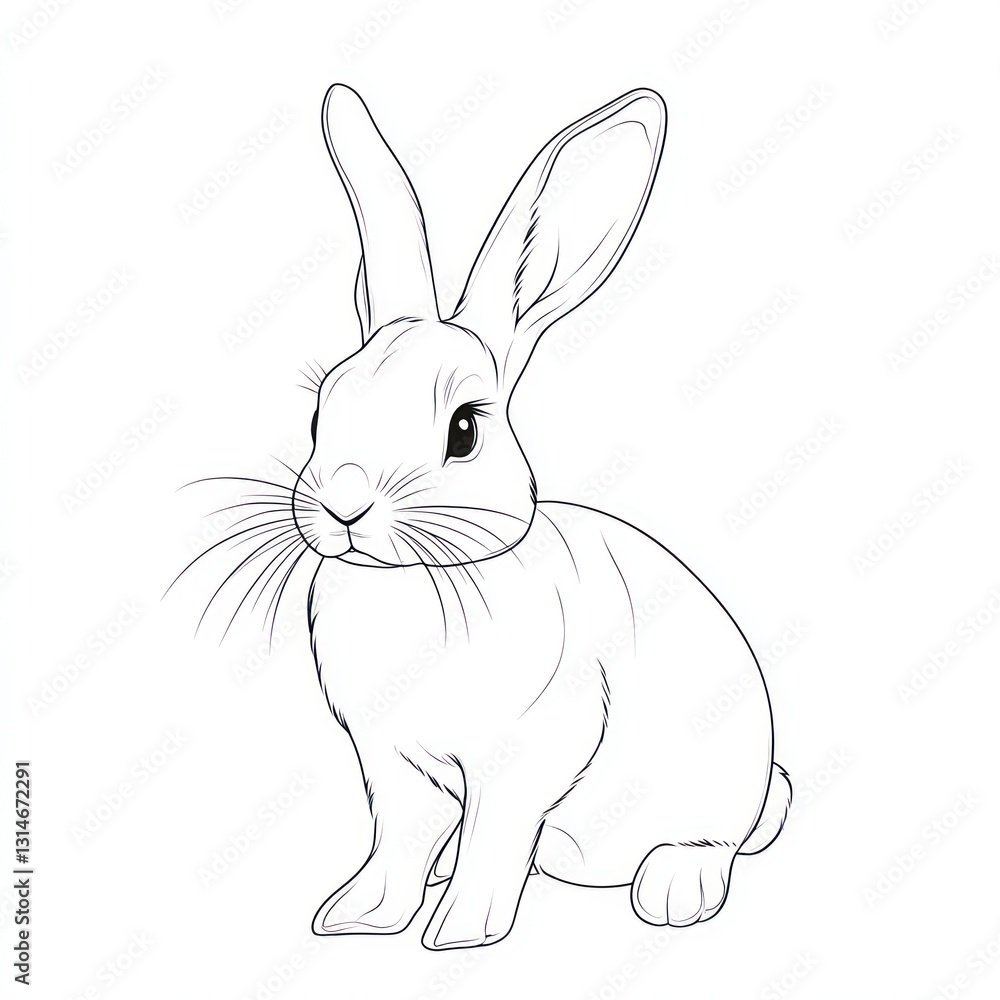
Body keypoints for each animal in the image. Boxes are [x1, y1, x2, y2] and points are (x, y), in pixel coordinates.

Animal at [295, 84, 791, 951]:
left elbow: (493, 839)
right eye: (323, 411)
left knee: (714, 839)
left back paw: (674, 889)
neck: (422, 577)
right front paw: (357, 915)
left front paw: (459, 931)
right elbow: (396, 842)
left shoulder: (524, 760)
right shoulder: (392, 763)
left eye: (464, 430)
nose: (345, 505)